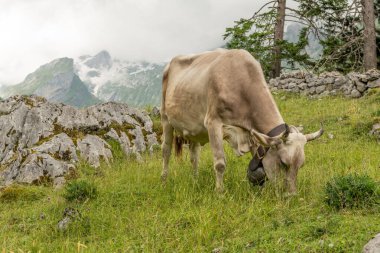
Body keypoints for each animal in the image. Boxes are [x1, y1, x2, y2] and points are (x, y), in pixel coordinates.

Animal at [160, 49, 324, 196]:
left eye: (301, 164)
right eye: (283, 162)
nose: (291, 195)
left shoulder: (251, 134)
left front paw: (261, 192)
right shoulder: (213, 123)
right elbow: (220, 163)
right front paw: (220, 193)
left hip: (194, 129)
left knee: (194, 156)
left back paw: (195, 180)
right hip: (165, 118)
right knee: (166, 150)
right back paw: (164, 180)